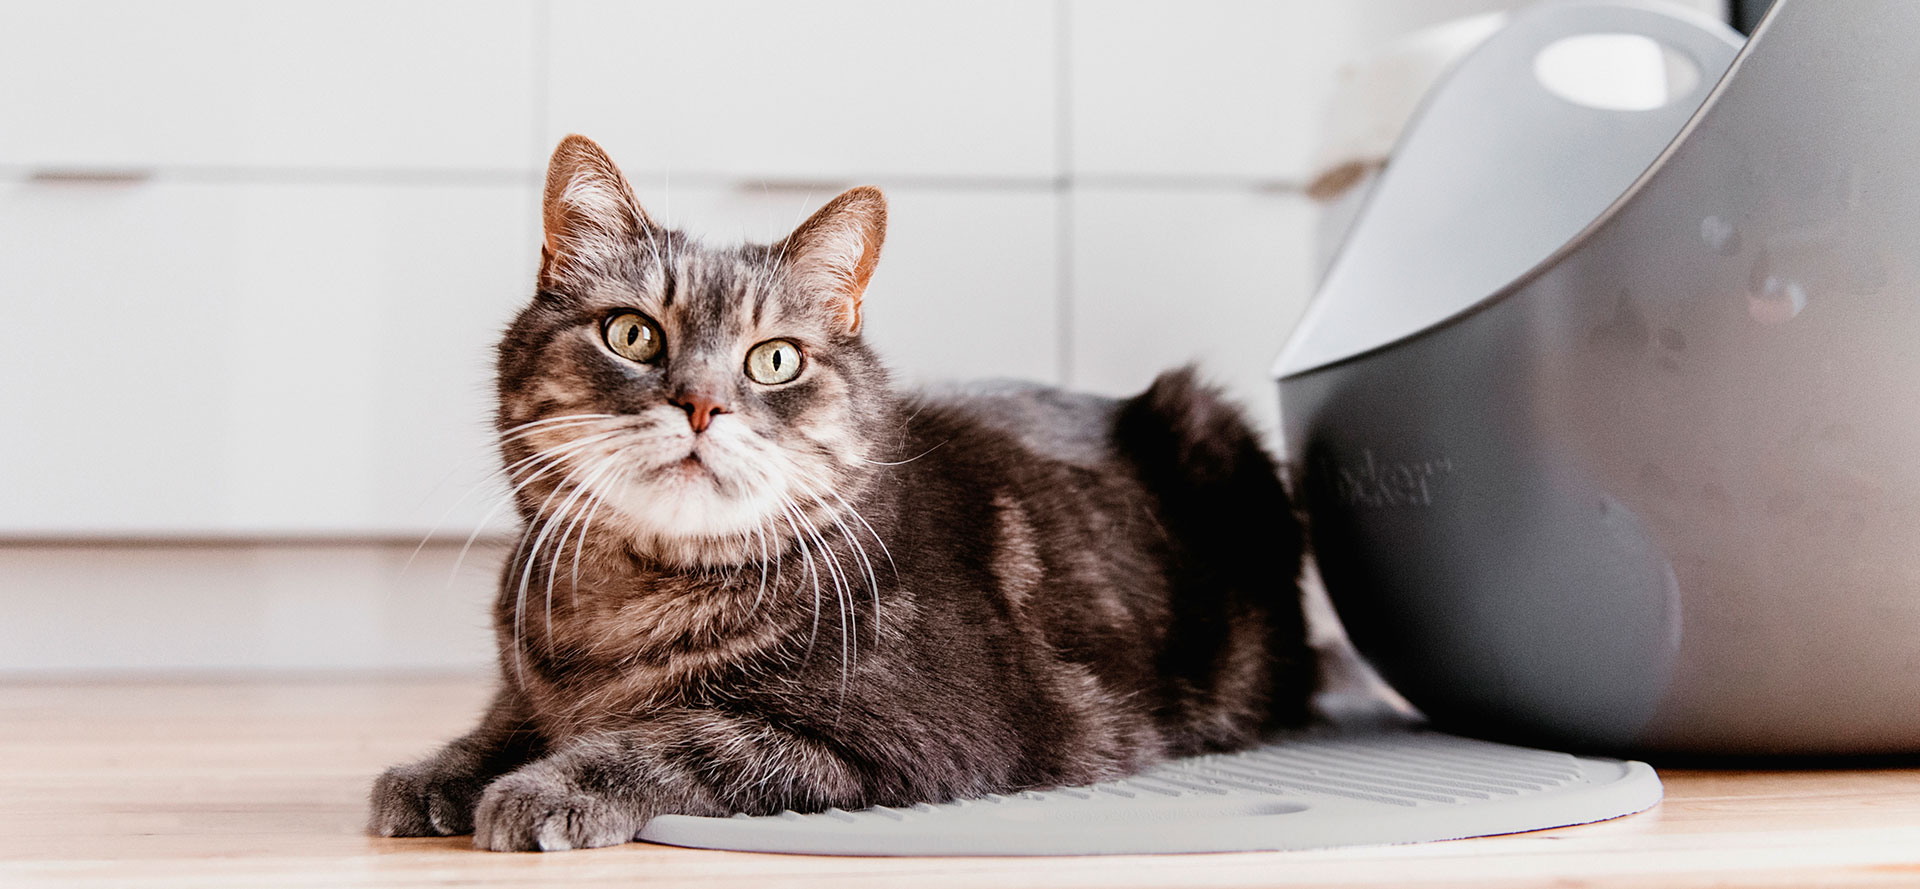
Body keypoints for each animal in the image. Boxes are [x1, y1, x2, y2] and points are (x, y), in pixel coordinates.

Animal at [366, 135, 1313, 852]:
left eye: (775, 358)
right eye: (631, 333)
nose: (700, 401)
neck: (629, 603)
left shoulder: (910, 735)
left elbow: (679, 740)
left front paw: (542, 786)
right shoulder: (527, 683)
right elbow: (504, 719)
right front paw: (435, 770)